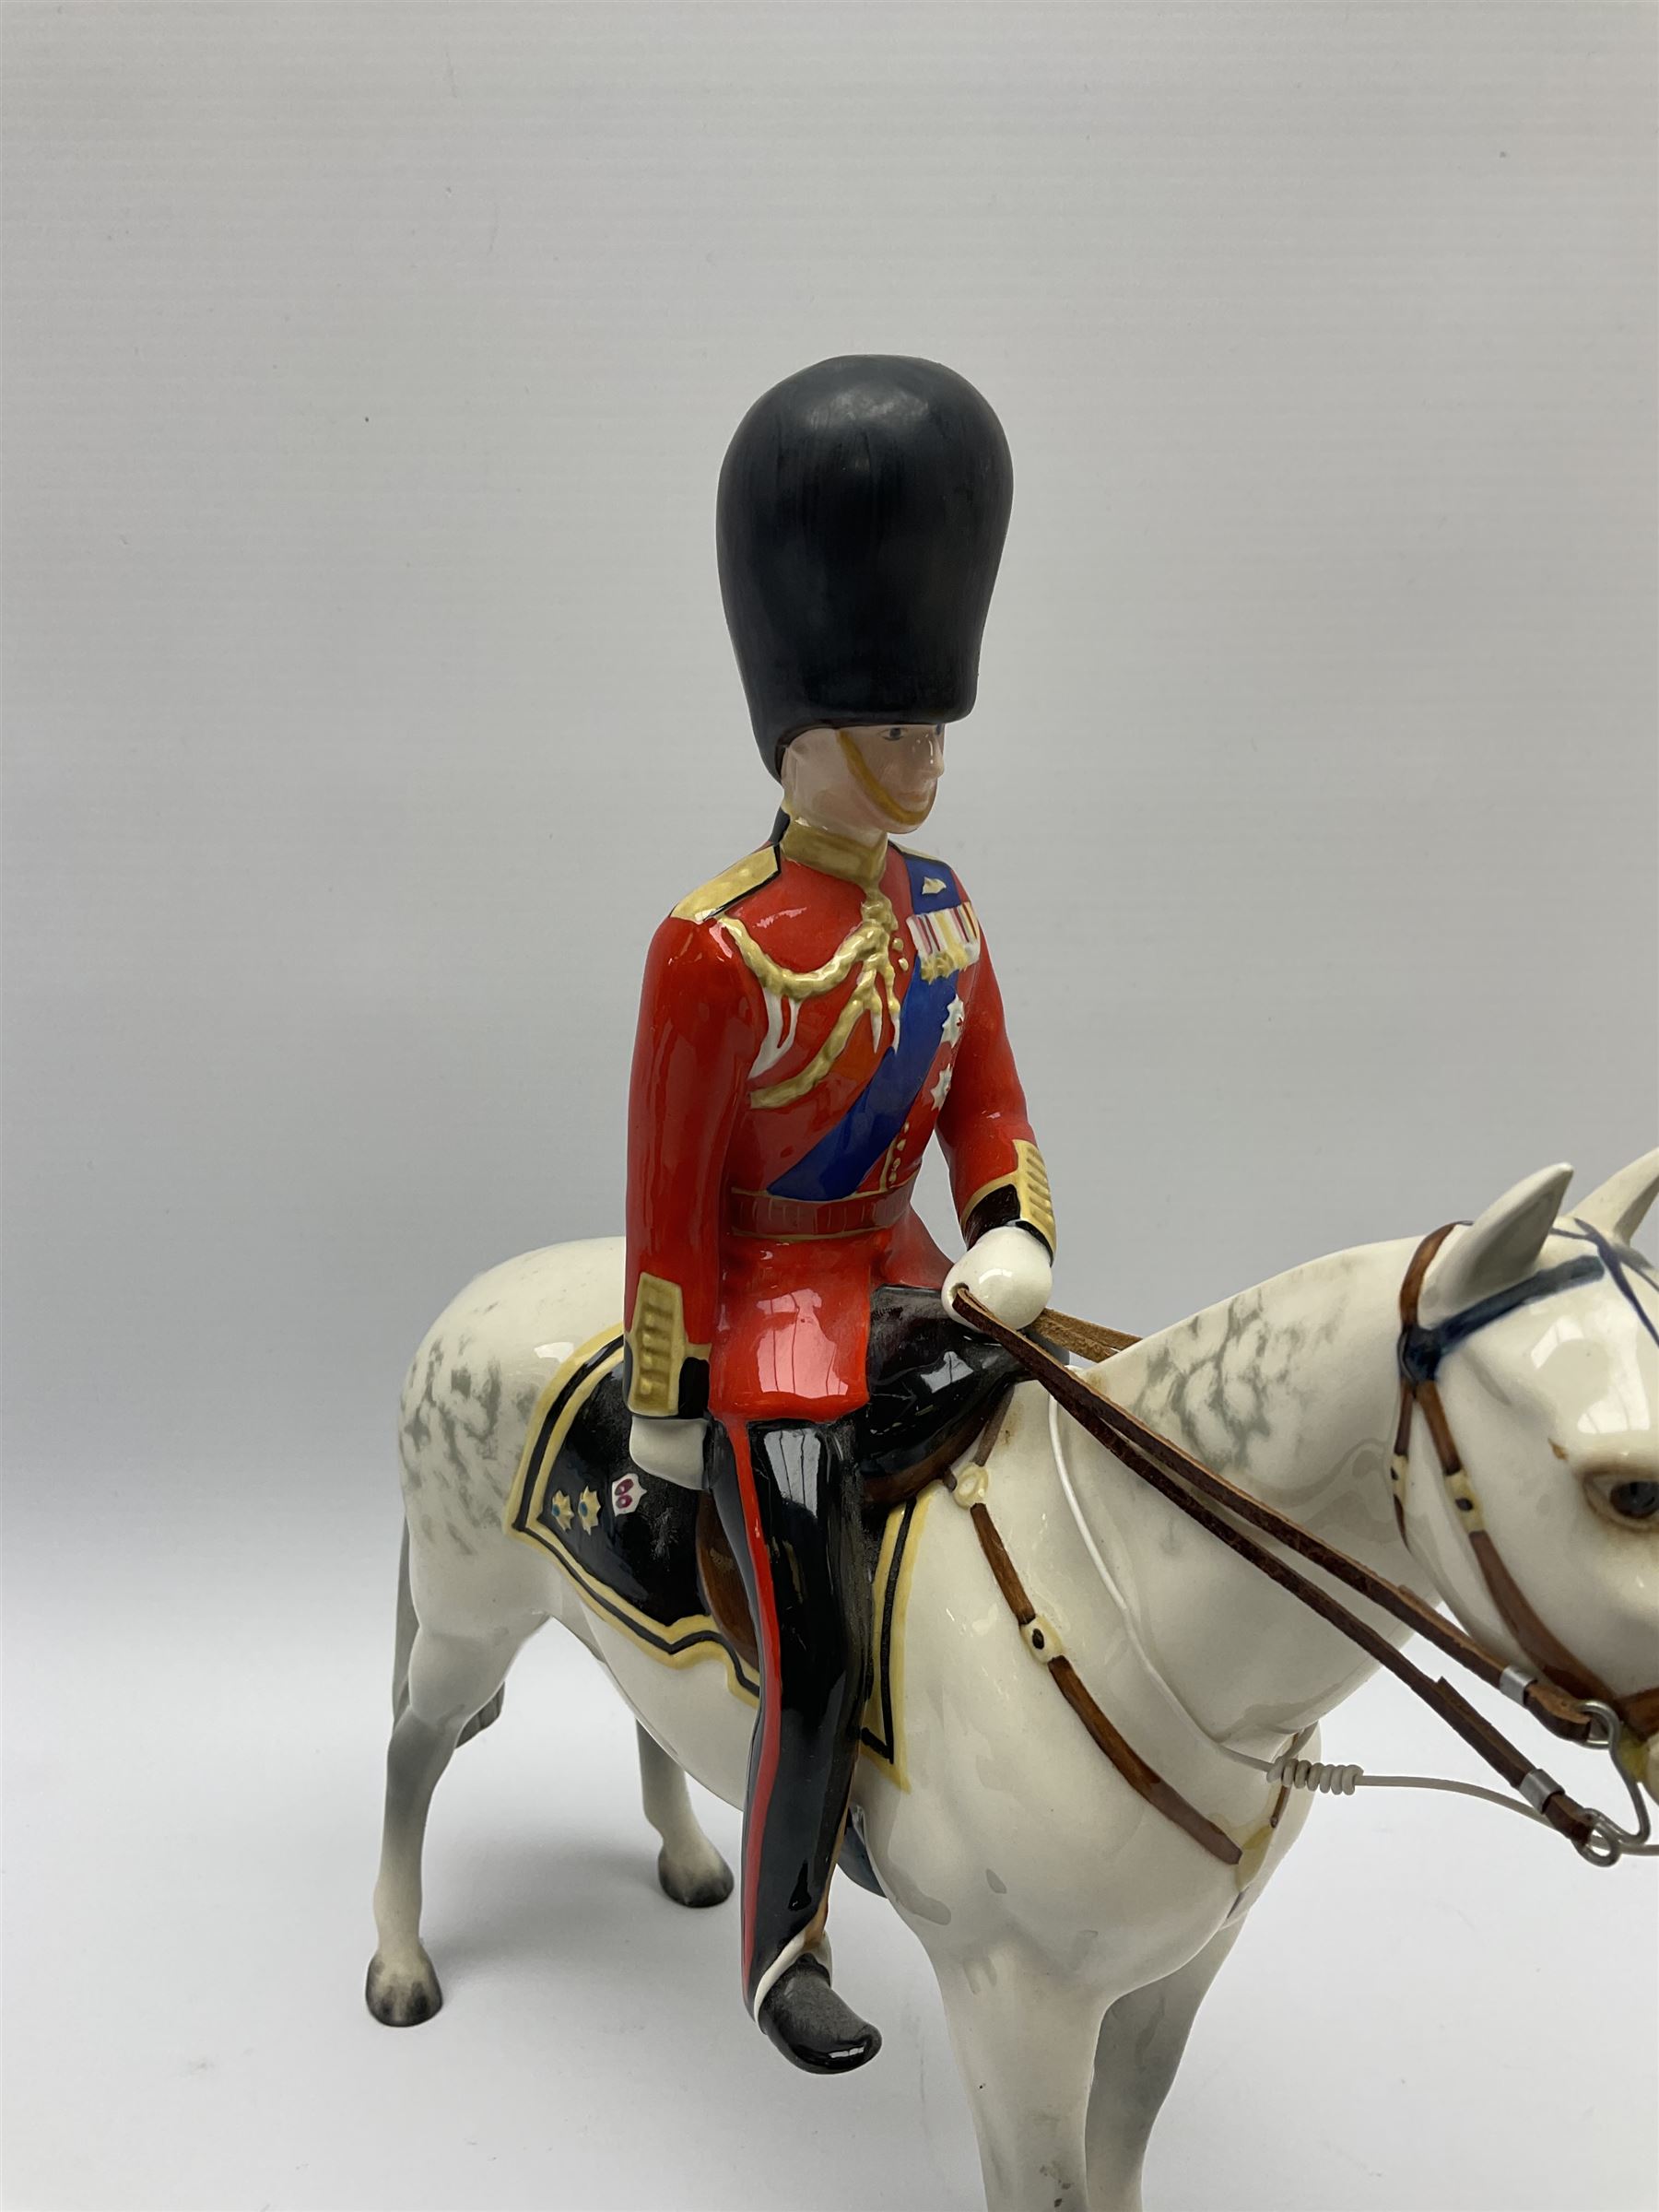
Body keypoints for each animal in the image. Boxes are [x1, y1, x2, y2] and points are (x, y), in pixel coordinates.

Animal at [369, 1159, 1654, 2212]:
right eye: (1630, 1491)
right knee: (412, 1753)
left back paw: (689, 1862)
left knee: (649, 1716)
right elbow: (1047, 2187)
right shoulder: (1014, 2003)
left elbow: (1122, 2151)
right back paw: (400, 1966)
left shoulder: (1178, 1976)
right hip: (467, 1621)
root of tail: (483, 1290)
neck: (1130, 1606)